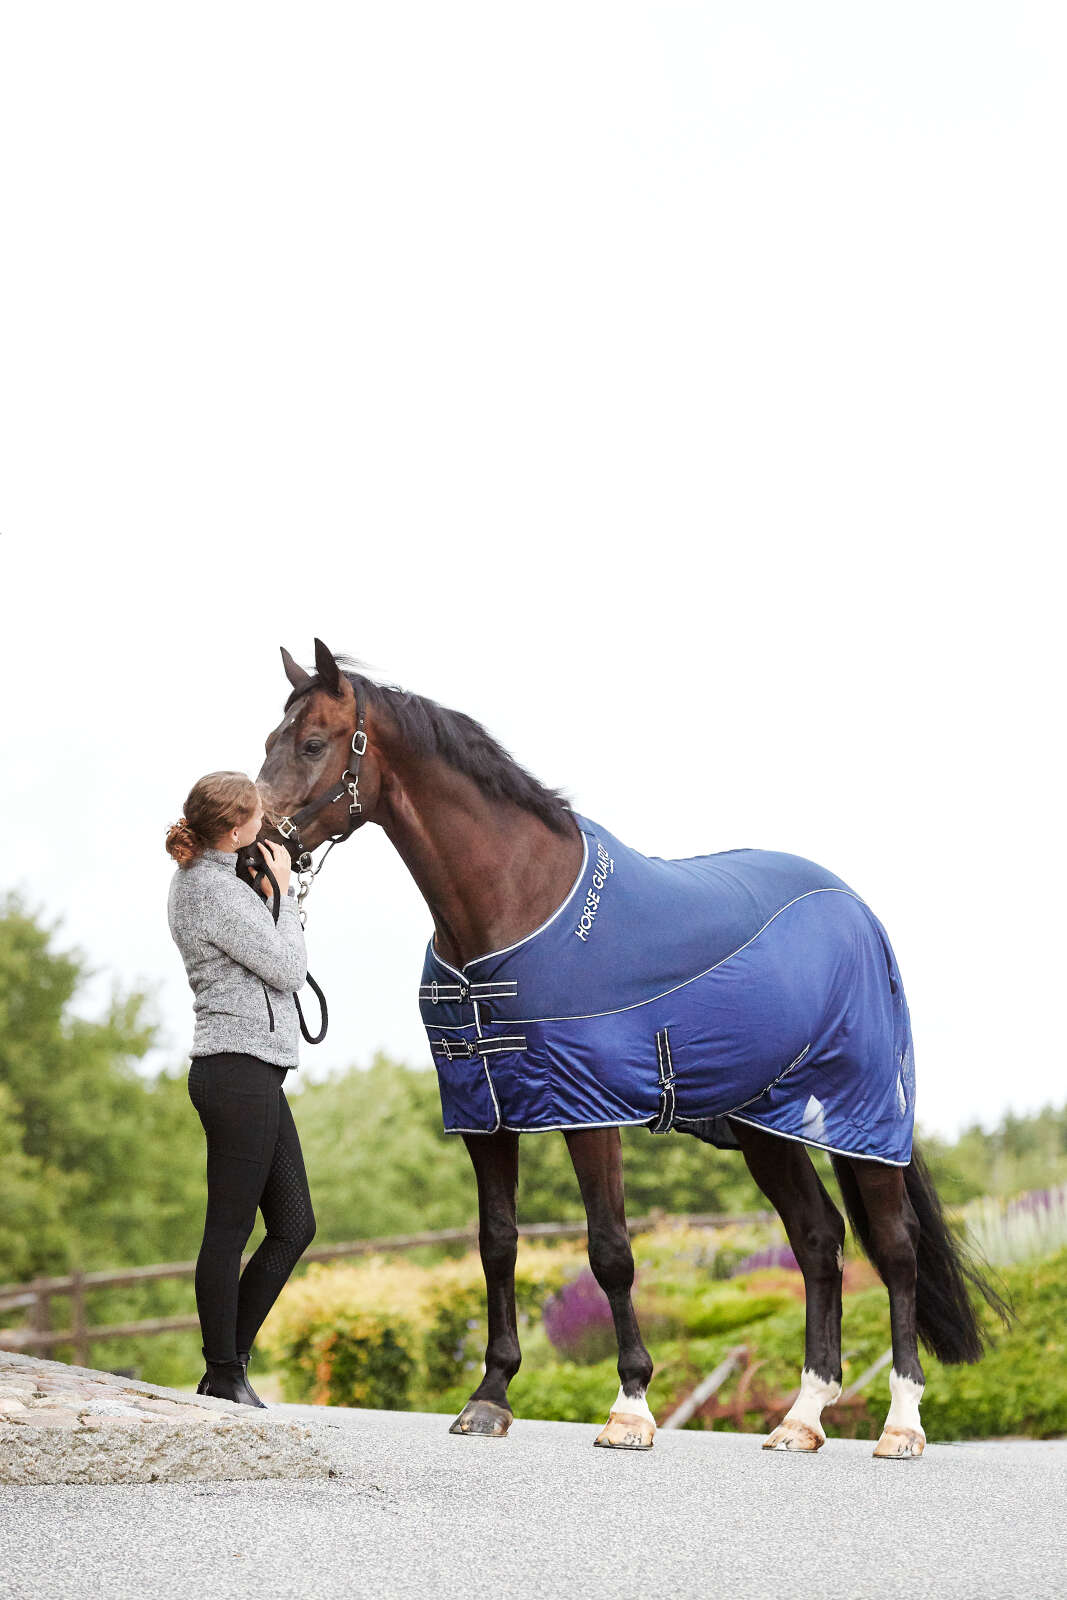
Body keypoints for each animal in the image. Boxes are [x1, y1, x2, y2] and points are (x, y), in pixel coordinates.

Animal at [254, 638, 1008, 1459]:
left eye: (313, 743)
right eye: (269, 743)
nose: (259, 844)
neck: (517, 903)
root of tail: (857, 912)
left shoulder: (589, 1109)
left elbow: (609, 1250)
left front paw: (630, 1407)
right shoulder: (484, 1112)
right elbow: (496, 1244)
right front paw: (489, 1397)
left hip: (863, 1114)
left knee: (896, 1251)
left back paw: (901, 1424)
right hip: (765, 1126)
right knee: (817, 1240)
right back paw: (801, 1418)